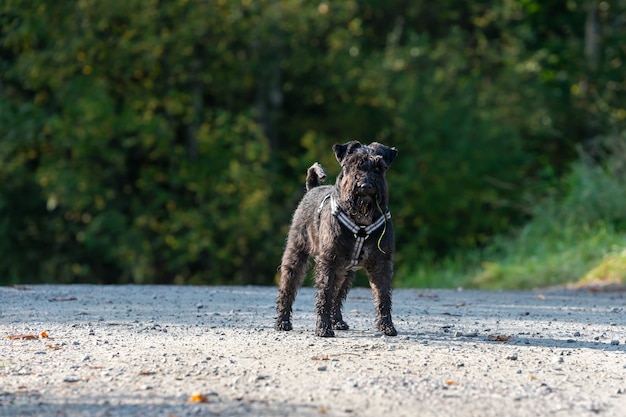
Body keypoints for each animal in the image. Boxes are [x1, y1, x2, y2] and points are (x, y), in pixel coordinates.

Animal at [274, 141, 400, 336]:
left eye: (379, 167)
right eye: (352, 163)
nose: (365, 185)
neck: (361, 222)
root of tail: (313, 187)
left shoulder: (382, 262)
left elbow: (383, 295)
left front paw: (387, 326)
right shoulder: (329, 261)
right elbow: (325, 293)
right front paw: (323, 328)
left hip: (346, 271)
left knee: (338, 295)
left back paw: (338, 321)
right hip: (296, 255)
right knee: (288, 288)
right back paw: (282, 322)